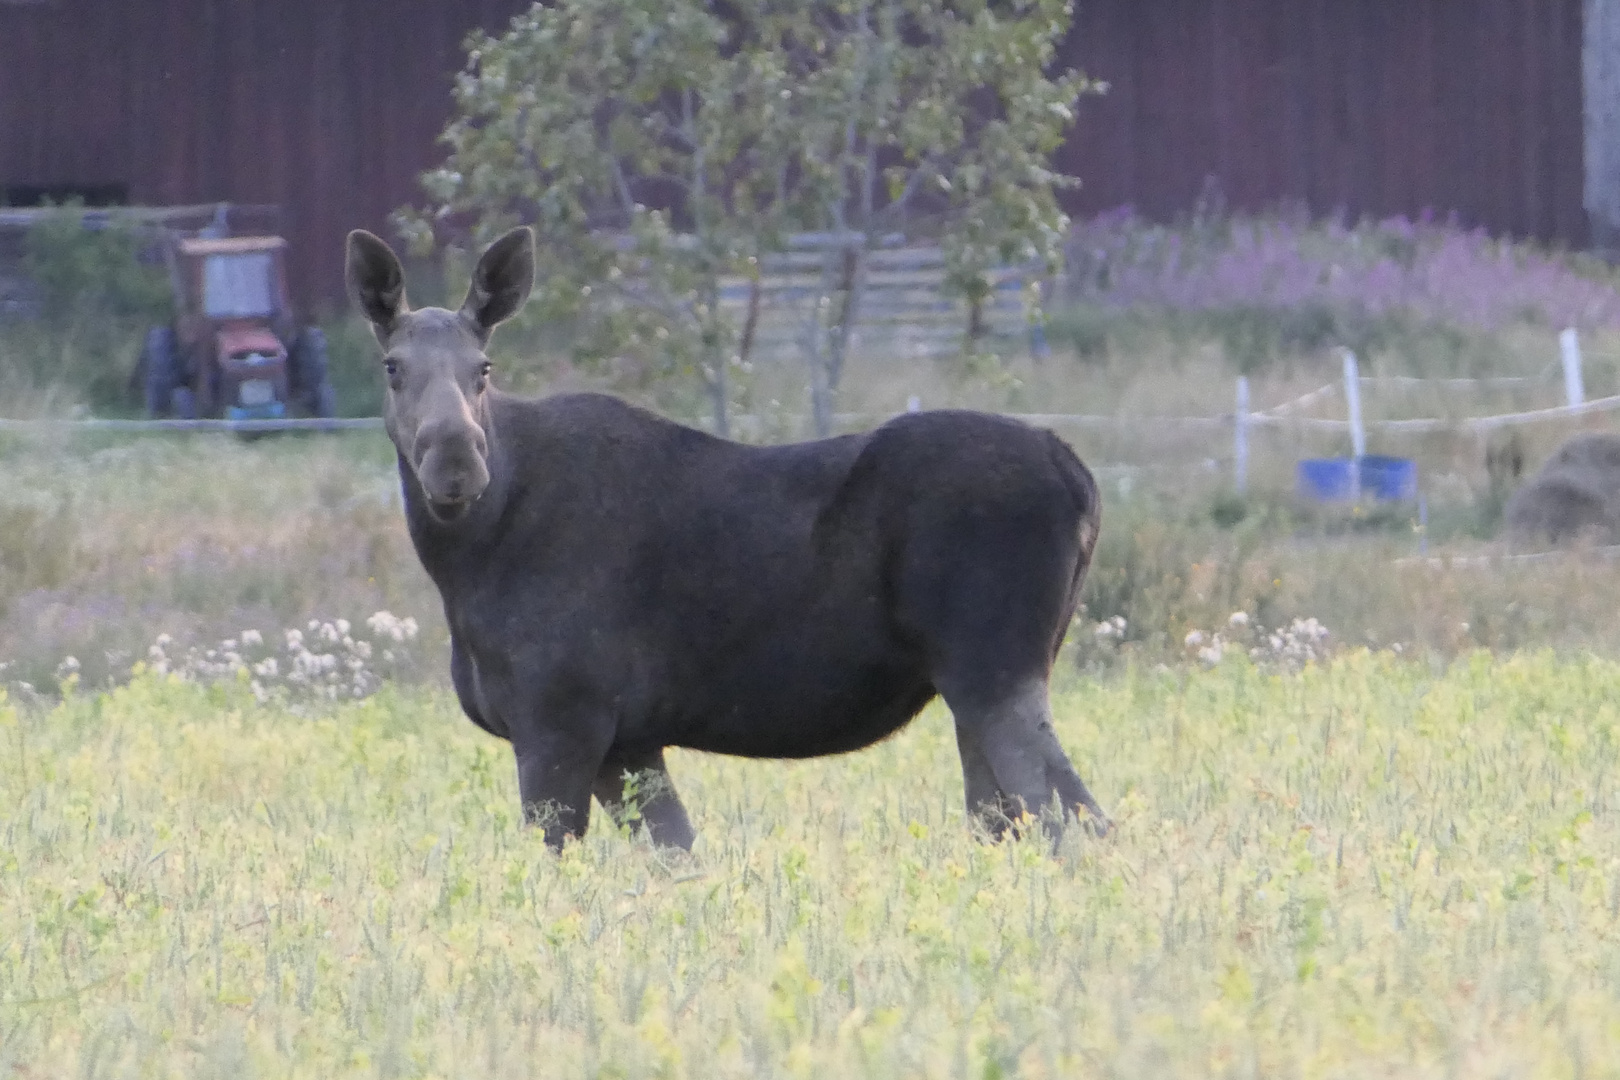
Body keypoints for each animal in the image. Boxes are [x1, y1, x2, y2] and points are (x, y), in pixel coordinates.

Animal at [346, 228, 1108, 854]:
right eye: (392, 367)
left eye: (484, 368)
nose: (455, 460)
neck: (465, 563)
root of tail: (1076, 471)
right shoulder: (628, 740)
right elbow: (677, 857)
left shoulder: (560, 719)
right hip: (978, 684)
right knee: (1010, 821)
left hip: (993, 670)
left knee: (1076, 823)